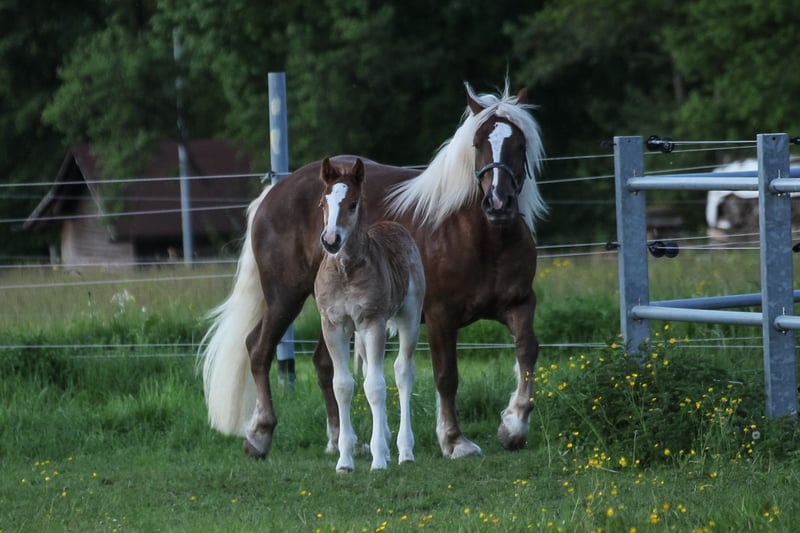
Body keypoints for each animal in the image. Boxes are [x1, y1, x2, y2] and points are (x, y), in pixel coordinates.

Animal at [314, 157, 425, 472]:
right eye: (322, 204)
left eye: (352, 204)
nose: (330, 240)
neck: (345, 273)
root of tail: (395, 225)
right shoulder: (334, 324)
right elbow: (343, 385)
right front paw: (344, 461)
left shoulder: (373, 321)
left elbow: (375, 386)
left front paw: (378, 459)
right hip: (361, 336)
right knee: (367, 369)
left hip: (409, 317)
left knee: (402, 371)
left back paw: (404, 450)